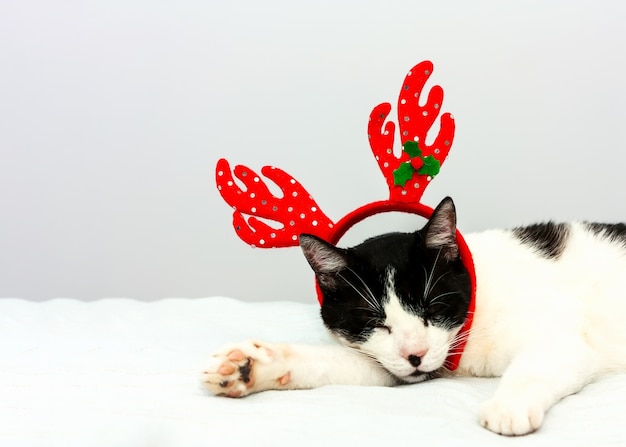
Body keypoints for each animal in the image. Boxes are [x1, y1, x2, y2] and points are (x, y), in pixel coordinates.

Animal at [201, 198, 624, 436]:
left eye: (432, 309)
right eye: (375, 322)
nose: (415, 355)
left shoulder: (560, 340)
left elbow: (538, 365)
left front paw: (509, 407)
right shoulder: (387, 361)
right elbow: (336, 363)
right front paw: (249, 367)